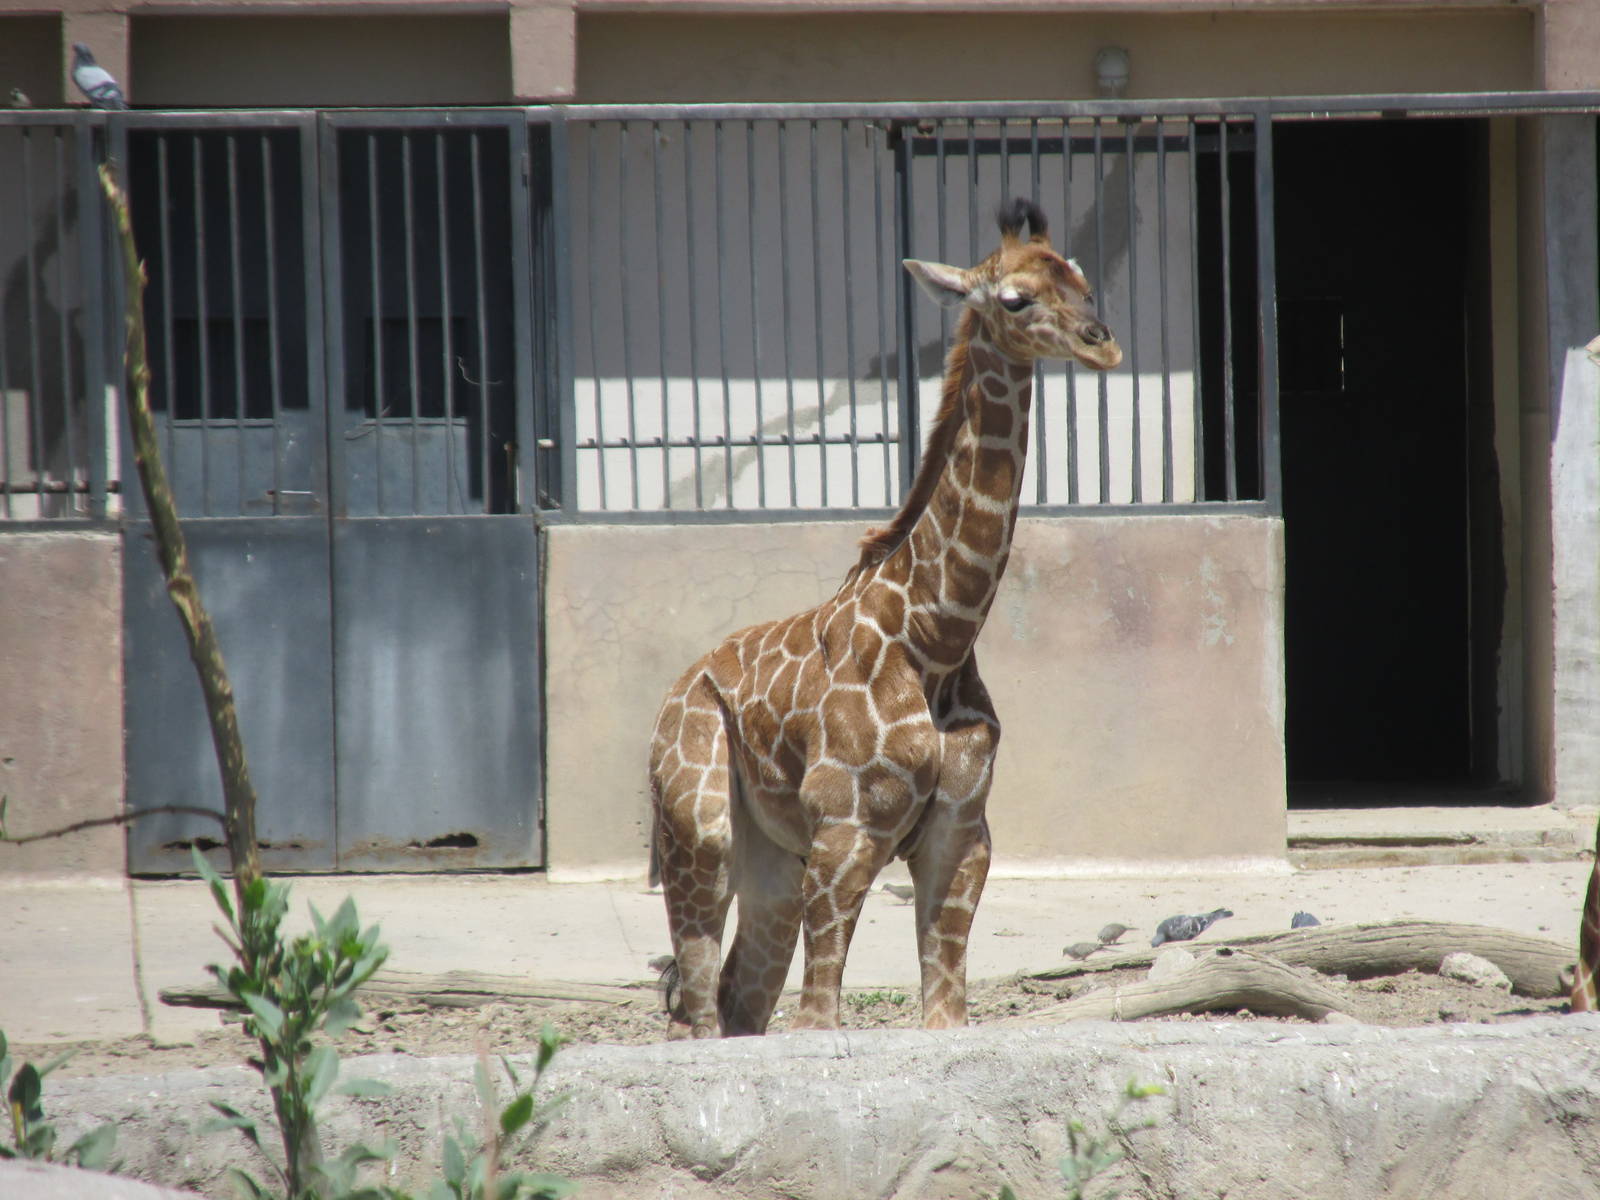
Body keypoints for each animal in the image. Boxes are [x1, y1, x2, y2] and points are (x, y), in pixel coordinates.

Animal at [648, 197, 1121, 1038]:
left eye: (1084, 282)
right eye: (1015, 300)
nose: (1105, 345)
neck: (934, 637)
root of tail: (672, 698)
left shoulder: (962, 837)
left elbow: (946, 1013)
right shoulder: (847, 832)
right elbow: (819, 1019)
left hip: (771, 865)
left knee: (738, 1002)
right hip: (699, 831)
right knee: (694, 1014)